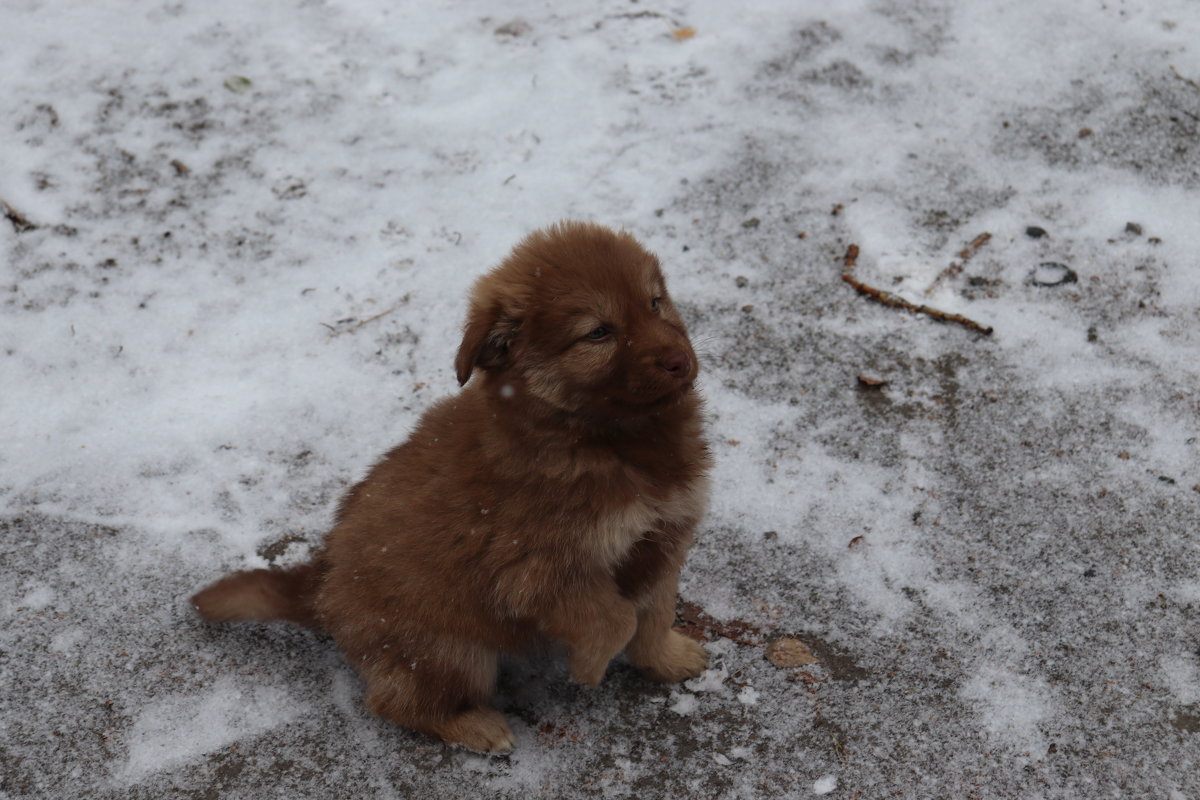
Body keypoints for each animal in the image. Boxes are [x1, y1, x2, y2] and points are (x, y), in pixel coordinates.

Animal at [192, 221, 705, 753]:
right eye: (599, 332)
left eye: (655, 303)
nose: (679, 360)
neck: (601, 437)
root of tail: (319, 585)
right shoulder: (540, 571)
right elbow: (617, 618)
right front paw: (590, 667)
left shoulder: (664, 537)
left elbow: (654, 613)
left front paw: (669, 659)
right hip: (451, 652)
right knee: (396, 703)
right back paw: (477, 727)